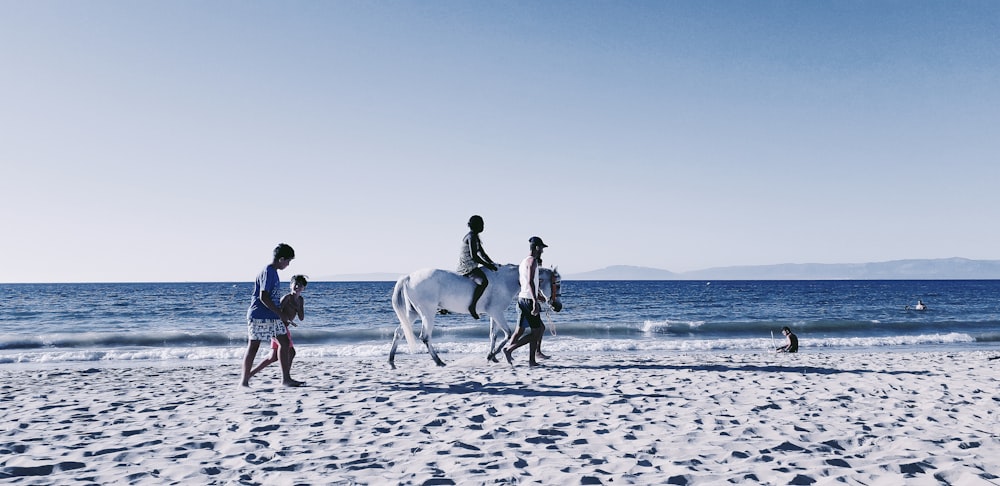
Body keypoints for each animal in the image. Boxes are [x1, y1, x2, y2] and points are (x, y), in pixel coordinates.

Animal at [388, 264, 564, 366]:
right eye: (557, 283)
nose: (558, 306)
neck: (505, 280)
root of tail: (408, 277)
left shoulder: (494, 314)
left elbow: (493, 335)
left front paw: (493, 356)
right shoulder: (497, 312)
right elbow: (508, 334)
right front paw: (492, 354)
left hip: (412, 313)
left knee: (399, 332)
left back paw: (391, 359)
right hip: (427, 313)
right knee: (425, 336)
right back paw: (438, 361)